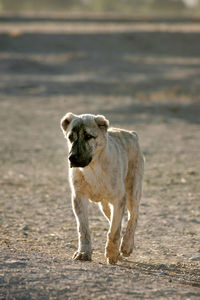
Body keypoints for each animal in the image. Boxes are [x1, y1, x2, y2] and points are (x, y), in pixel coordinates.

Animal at [60, 113, 144, 264]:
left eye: (88, 136)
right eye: (70, 137)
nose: (72, 158)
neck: (93, 168)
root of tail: (132, 134)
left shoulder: (118, 199)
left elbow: (114, 230)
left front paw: (112, 253)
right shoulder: (78, 198)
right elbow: (84, 229)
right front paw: (84, 252)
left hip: (132, 192)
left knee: (133, 216)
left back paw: (126, 245)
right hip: (104, 205)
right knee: (115, 219)